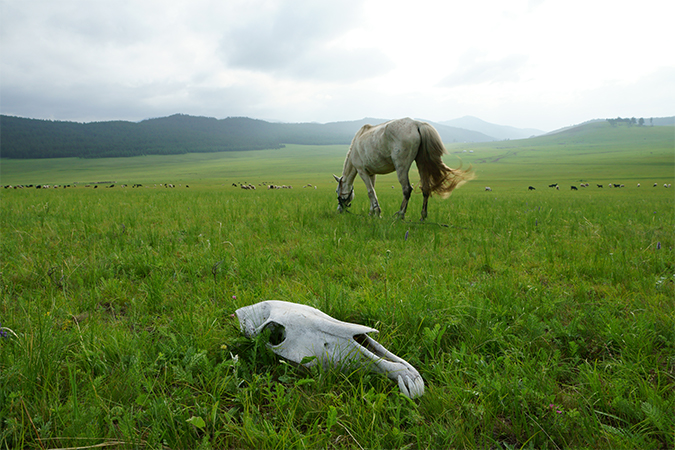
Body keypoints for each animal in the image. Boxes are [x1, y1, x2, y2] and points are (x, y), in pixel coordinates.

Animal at [334, 118, 473, 221]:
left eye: (337, 191)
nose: (339, 210)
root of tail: (416, 124)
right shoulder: (371, 174)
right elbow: (372, 192)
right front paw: (371, 213)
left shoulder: (362, 171)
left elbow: (370, 192)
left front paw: (377, 213)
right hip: (421, 164)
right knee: (425, 189)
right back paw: (422, 217)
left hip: (401, 167)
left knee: (407, 189)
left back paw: (400, 215)